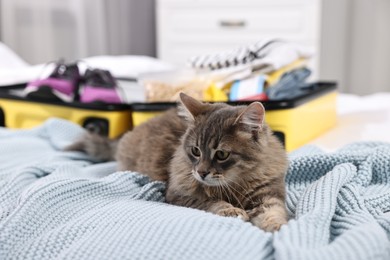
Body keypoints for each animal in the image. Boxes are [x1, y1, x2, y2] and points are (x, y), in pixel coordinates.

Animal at [65, 93, 288, 232]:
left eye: (222, 154)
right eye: (195, 151)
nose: (201, 173)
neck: (235, 183)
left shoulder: (268, 194)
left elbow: (274, 212)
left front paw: (278, 226)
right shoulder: (179, 194)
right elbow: (212, 202)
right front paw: (230, 210)